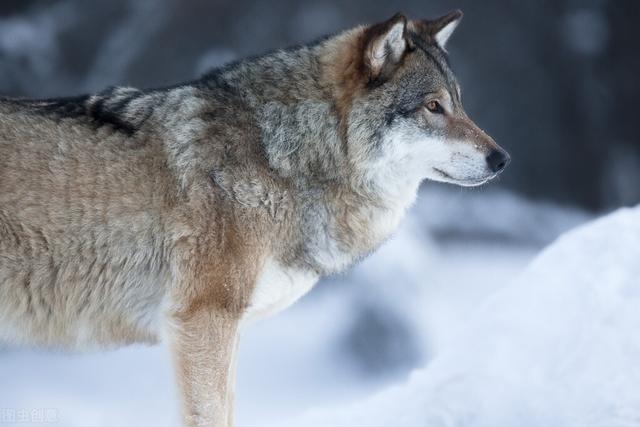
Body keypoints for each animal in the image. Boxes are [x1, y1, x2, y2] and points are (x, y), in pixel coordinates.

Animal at [0, 10, 510, 427]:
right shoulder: (204, 318)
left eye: (459, 103)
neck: (284, 156)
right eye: (433, 107)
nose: (502, 159)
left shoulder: (227, 327)